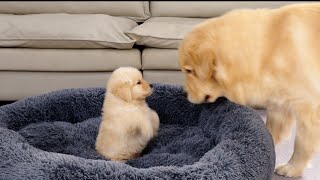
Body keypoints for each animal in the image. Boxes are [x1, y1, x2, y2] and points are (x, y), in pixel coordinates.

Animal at [179, 2, 320, 177]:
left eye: (189, 71)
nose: (185, 95)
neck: (270, 49)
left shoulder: (309, 107)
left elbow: (301, 144)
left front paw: (293, 168)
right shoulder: (279, 103)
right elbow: (269, 131)